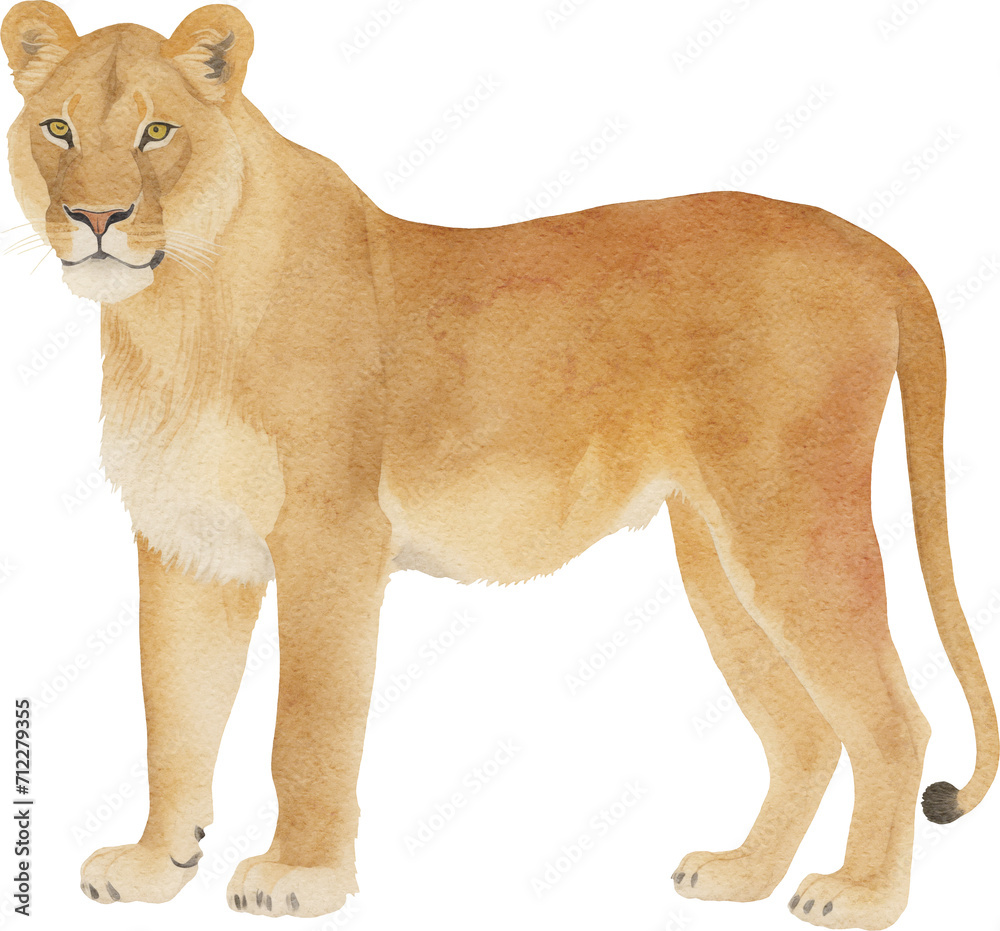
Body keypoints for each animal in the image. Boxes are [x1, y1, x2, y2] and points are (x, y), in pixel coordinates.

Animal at [2, 3, 996, 928]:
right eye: (57, 128)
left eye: (157, 132)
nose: (97, 219)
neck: (174, 310)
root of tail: (870, 246)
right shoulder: (186, 548)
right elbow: (172, 716)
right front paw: (151, 866)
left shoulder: (332, 540)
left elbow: (310, 726)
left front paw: (299, 876)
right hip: (719, 558)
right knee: (804, 730)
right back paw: (742, 873)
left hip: (792, 524)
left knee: (893, 720)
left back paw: (860, 893)